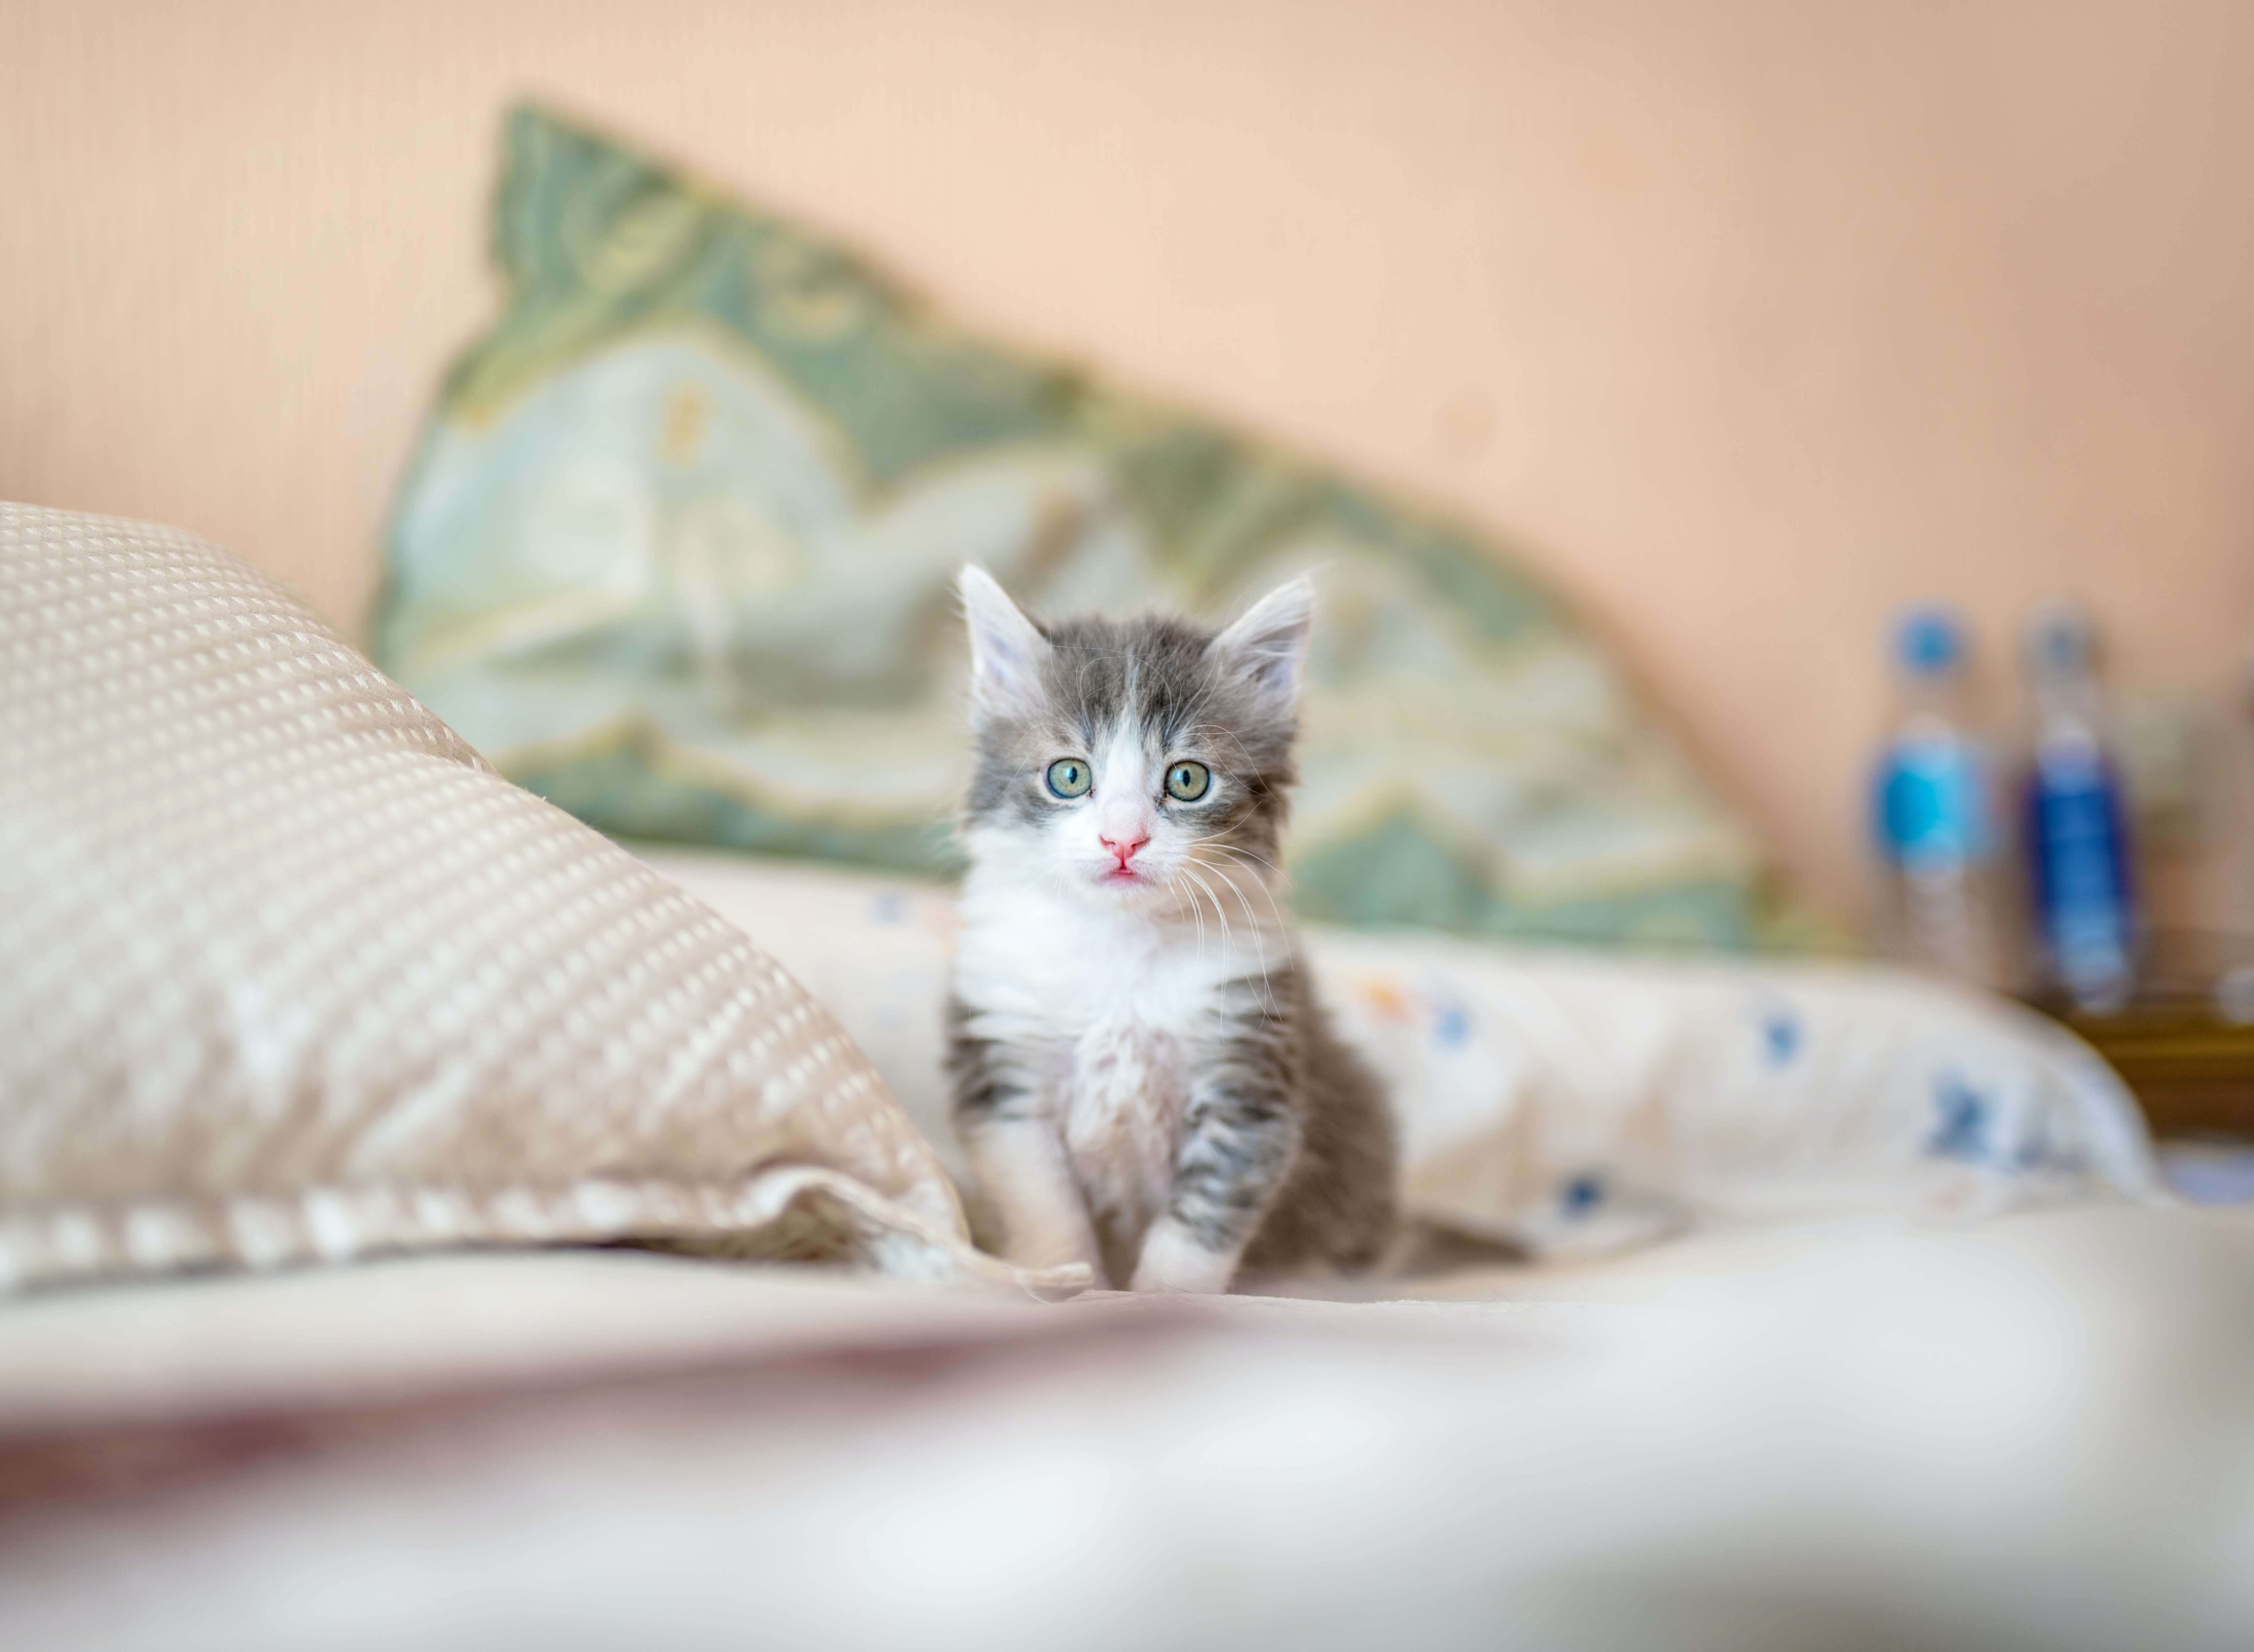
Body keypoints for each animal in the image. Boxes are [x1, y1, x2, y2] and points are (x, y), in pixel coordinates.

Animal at [942, 568, 1397, 1289]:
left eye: (1187, 779)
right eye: (1068, 775)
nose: (1122, 840)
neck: (1120, 948)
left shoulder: (1248, 1078)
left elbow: (1198, 1225)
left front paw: (1160, 1297)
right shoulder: (1005, 1071)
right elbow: (1043, 1205)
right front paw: (1067, 1281)